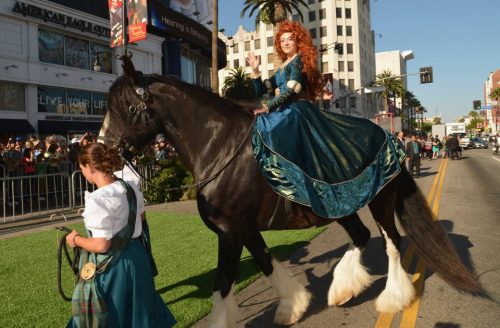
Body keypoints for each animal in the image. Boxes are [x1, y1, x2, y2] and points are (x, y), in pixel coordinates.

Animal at [99, 57, 482, 326]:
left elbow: (222, 283)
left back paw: (392, 298)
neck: (220, 147)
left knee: (391, 242)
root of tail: (391, 138)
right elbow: (267, 263)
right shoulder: (243, 229)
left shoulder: (230, 232)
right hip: (341, 207)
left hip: (380, 201)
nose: (100, 151)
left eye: (126, 108)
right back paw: (343, 288)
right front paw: (293, 306)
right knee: (360, 236)